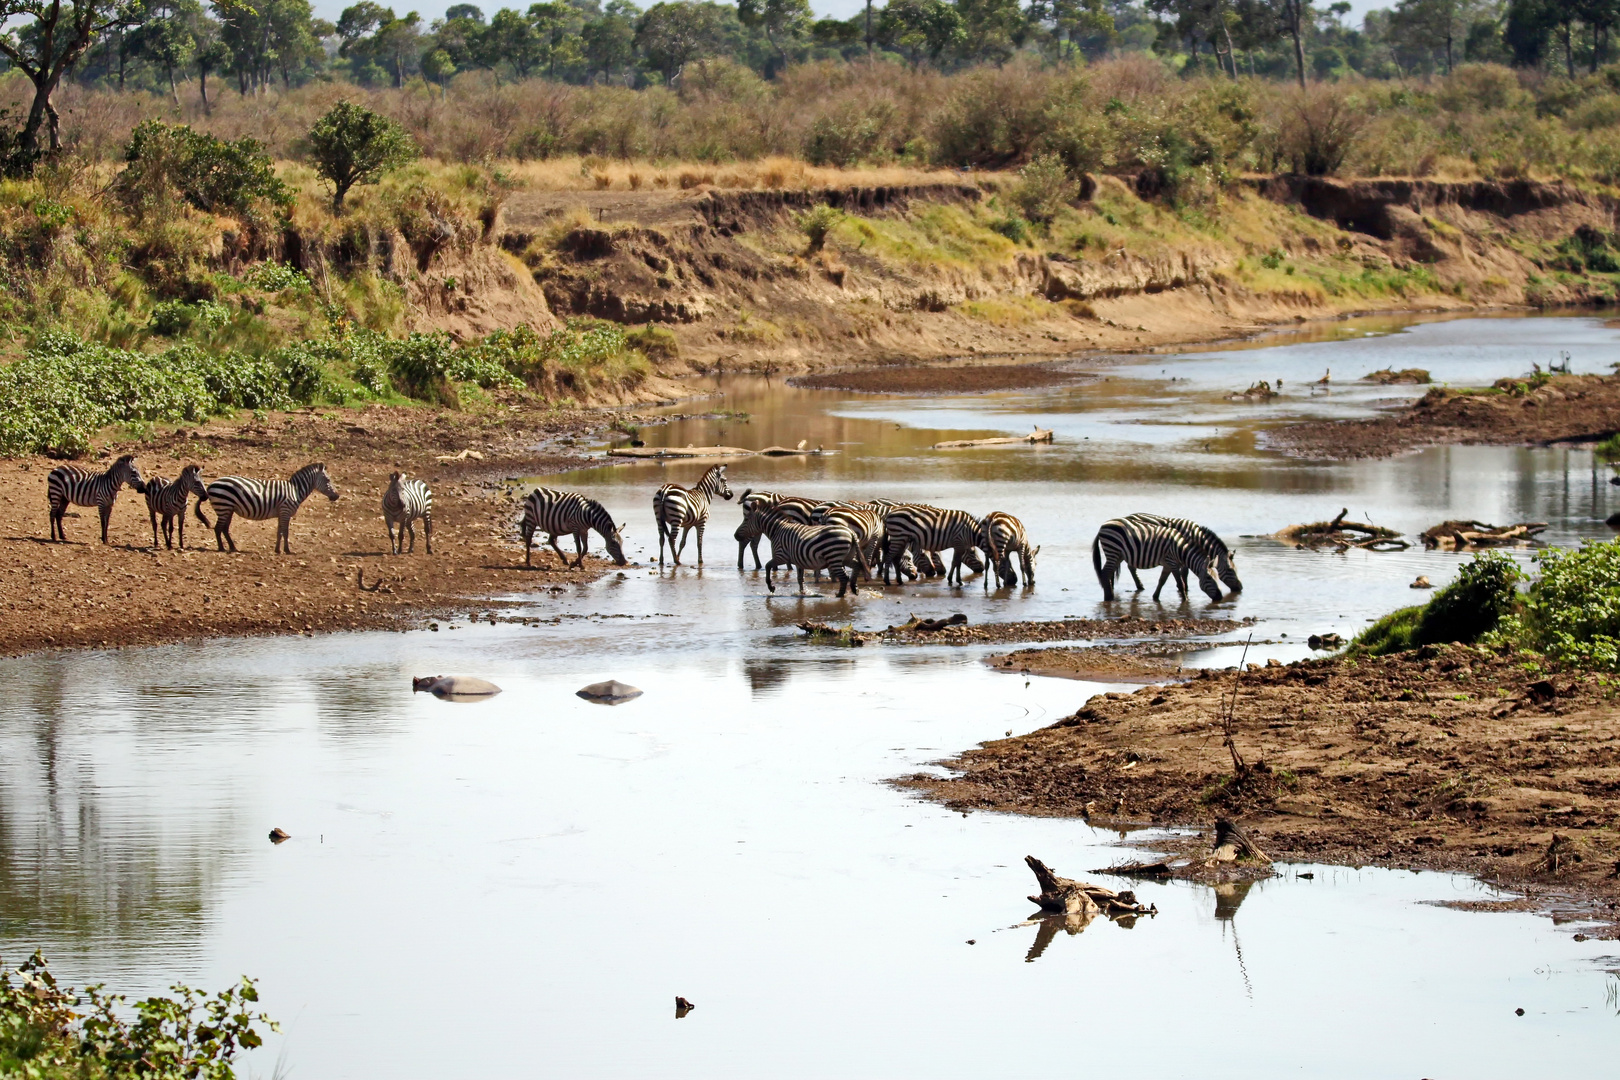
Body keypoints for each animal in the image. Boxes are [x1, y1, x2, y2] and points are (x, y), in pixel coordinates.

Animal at [207, 459, 340, 553]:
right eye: (328, 480)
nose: (337, 496)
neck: (295, 490)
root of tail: (211, 484)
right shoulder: (286, 511)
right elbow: (285, 532)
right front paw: (287, 550)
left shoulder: (281, 513)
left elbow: (279, 531)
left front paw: (277, 550)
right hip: (224, 506)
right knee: (218, 528)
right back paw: (221, 548)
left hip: (229, 509)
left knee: (224, 528)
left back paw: (232, 547)